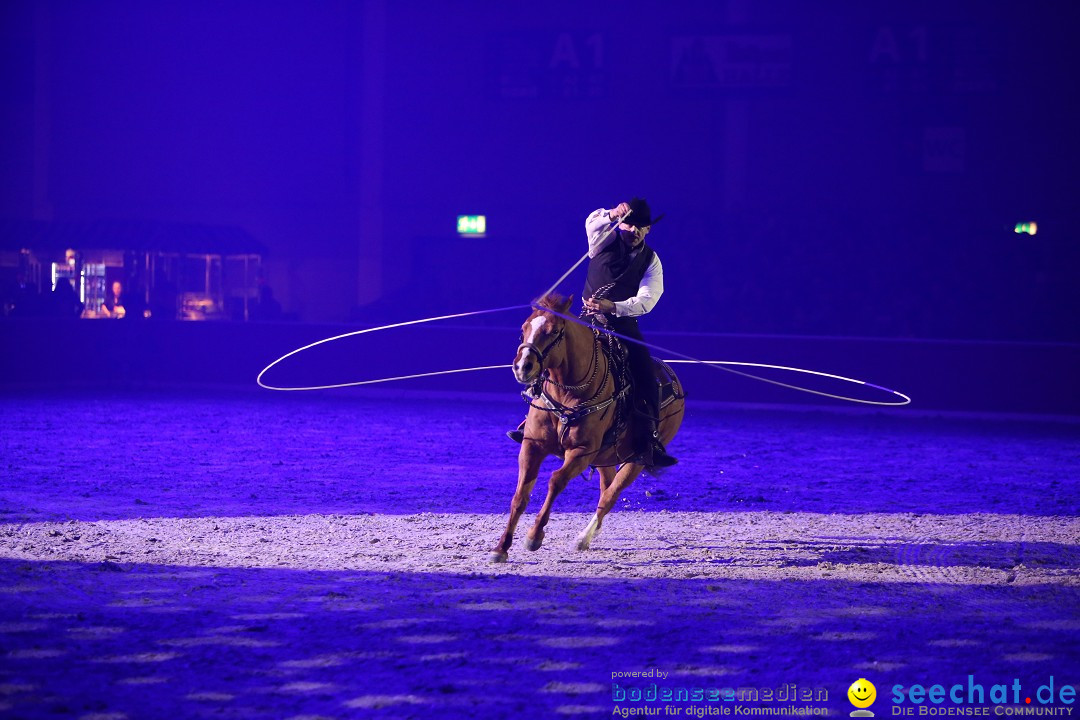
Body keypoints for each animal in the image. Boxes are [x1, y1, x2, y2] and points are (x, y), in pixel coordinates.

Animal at [490, 293, 682, 561]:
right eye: (524, 329)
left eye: (554, 331)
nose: (522, 367)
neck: (568, 394)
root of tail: (673, 378)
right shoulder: (532, 446)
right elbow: (520, 495)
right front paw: (501, 547)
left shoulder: (581, 452)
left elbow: (556, 481)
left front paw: (534, 536)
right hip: (606, 457)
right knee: (606, 487)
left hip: (636, 460)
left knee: (610, 496)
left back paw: (583, 538)